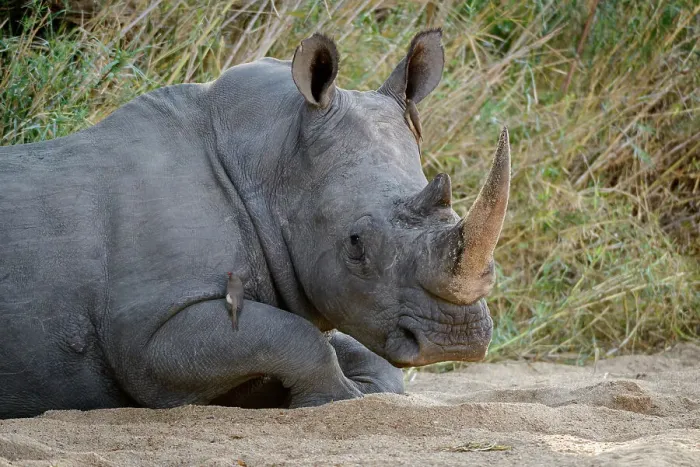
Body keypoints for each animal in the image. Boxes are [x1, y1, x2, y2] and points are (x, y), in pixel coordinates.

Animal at [0, 29, 510, 419]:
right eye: (355, 243)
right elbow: (294, 337)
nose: (455, 339)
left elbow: (351, 352)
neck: (271, 165)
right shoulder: (146, 337)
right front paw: (337, 397)